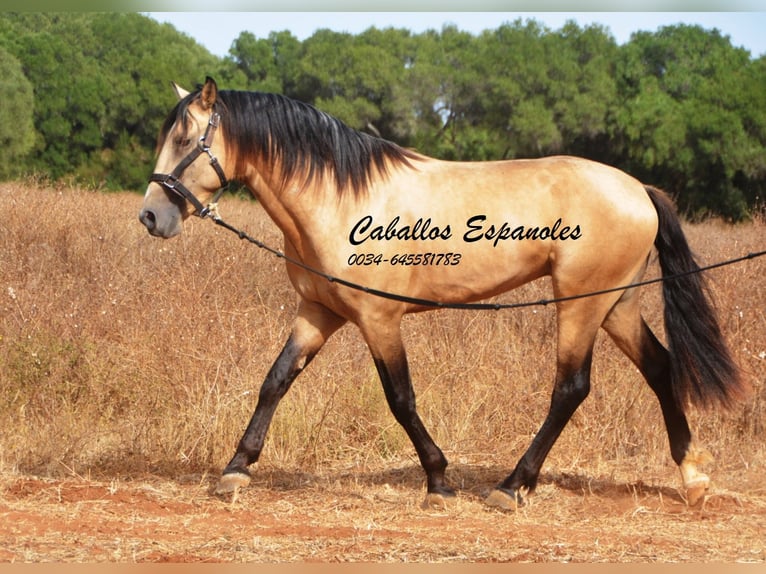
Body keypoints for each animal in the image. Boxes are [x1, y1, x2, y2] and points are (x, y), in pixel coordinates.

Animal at [141, 77, 748, 512]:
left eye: (185, 139)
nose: (151, 216)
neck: (340, 198)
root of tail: (637, 189)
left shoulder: (379, 319)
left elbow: (401, 399)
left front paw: (438, 480)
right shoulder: (318, 311)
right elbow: (275, 381)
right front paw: (235, 470)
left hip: (581, 304)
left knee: (571, 388)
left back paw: (511, 486)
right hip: (616, 304)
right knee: (661, 368)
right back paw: (694, 477)